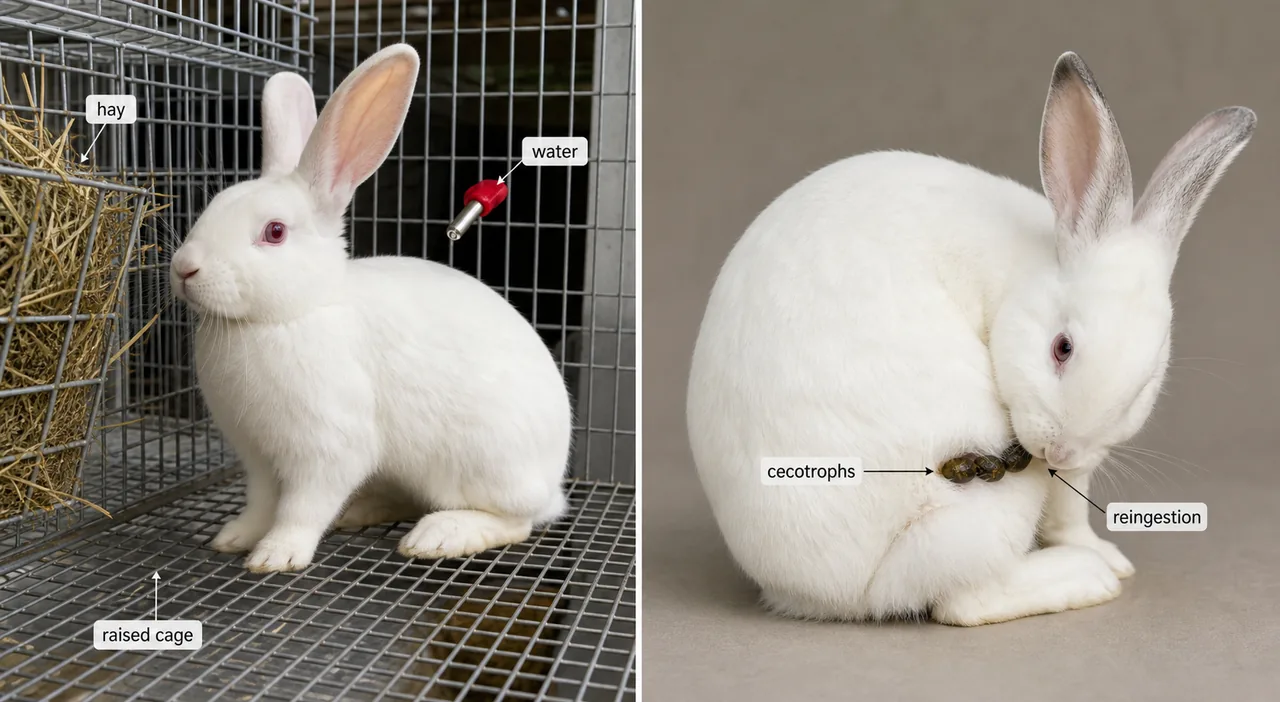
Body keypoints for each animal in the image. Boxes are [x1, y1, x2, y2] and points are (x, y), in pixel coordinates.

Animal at [169, 43, 572, 573]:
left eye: (274, 232)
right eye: (213, 204)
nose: (184, 268)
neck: (288, 315)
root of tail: (554, 480)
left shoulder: (328, 448)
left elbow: (301, 507)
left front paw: (276, 555)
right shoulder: (257, 457)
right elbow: (261, 502)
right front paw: (235, 538)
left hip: (483, 465)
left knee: (517, 520)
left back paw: (439, 536)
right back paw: (360, 512)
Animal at [686, 51, 1254, 626]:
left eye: (1144, 386)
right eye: (1061, 348)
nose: (1062, 449)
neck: (1028, 271)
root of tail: (838, 595)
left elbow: (1071, 511)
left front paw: (1109, 552)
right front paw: (1102, 563)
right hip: (983, 503)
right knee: (964, 599)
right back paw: (1084, 579)